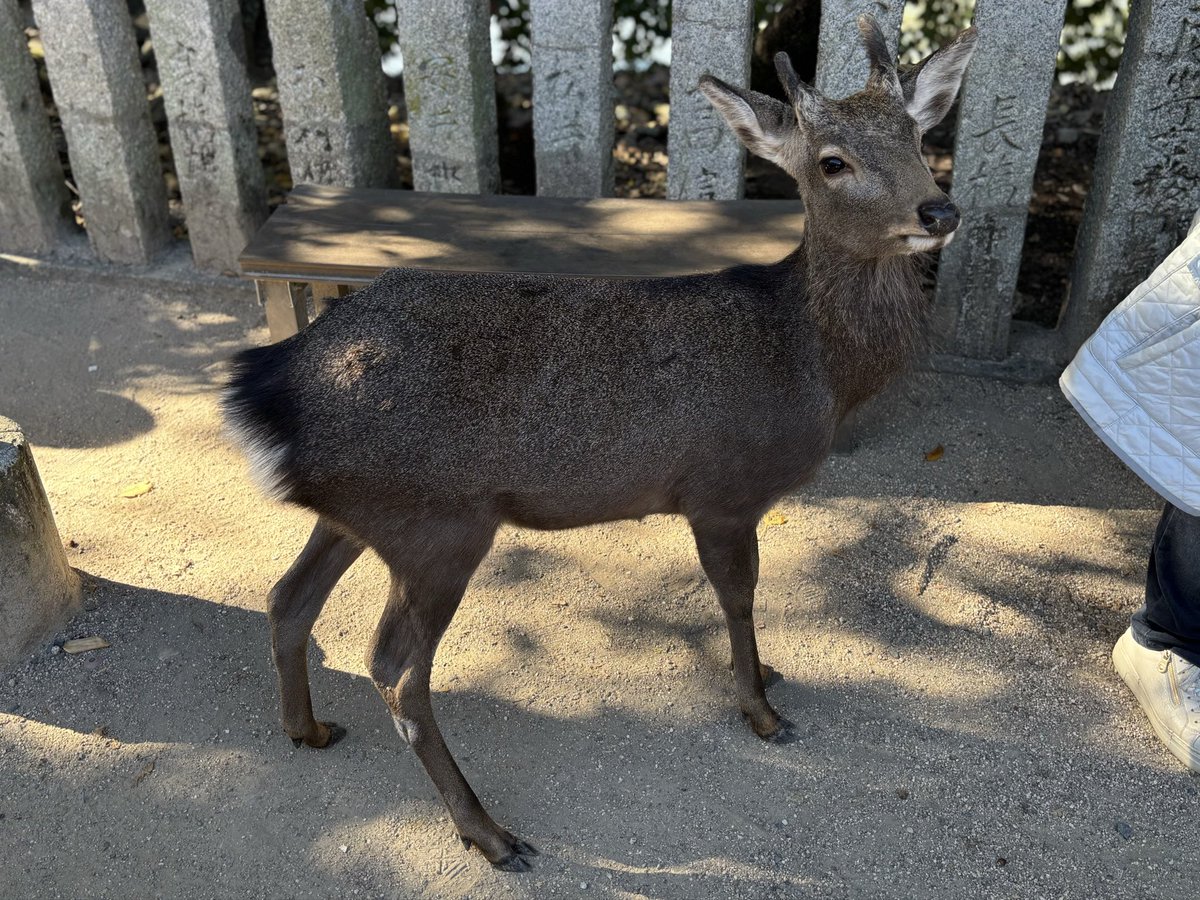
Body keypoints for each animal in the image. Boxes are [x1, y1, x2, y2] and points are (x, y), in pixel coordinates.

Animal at [221, 17, 977, 872]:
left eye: (919, 136)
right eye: (833, 161)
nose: (938, 210)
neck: (812, 363)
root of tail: (264, 388)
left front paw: (768, 676)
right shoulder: (722, 490)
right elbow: (739, 594)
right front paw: (760, 709)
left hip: (361, 511)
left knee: (288, 597)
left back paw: (307, 729)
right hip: (437, 524)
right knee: (394, 665)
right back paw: (490, 833)